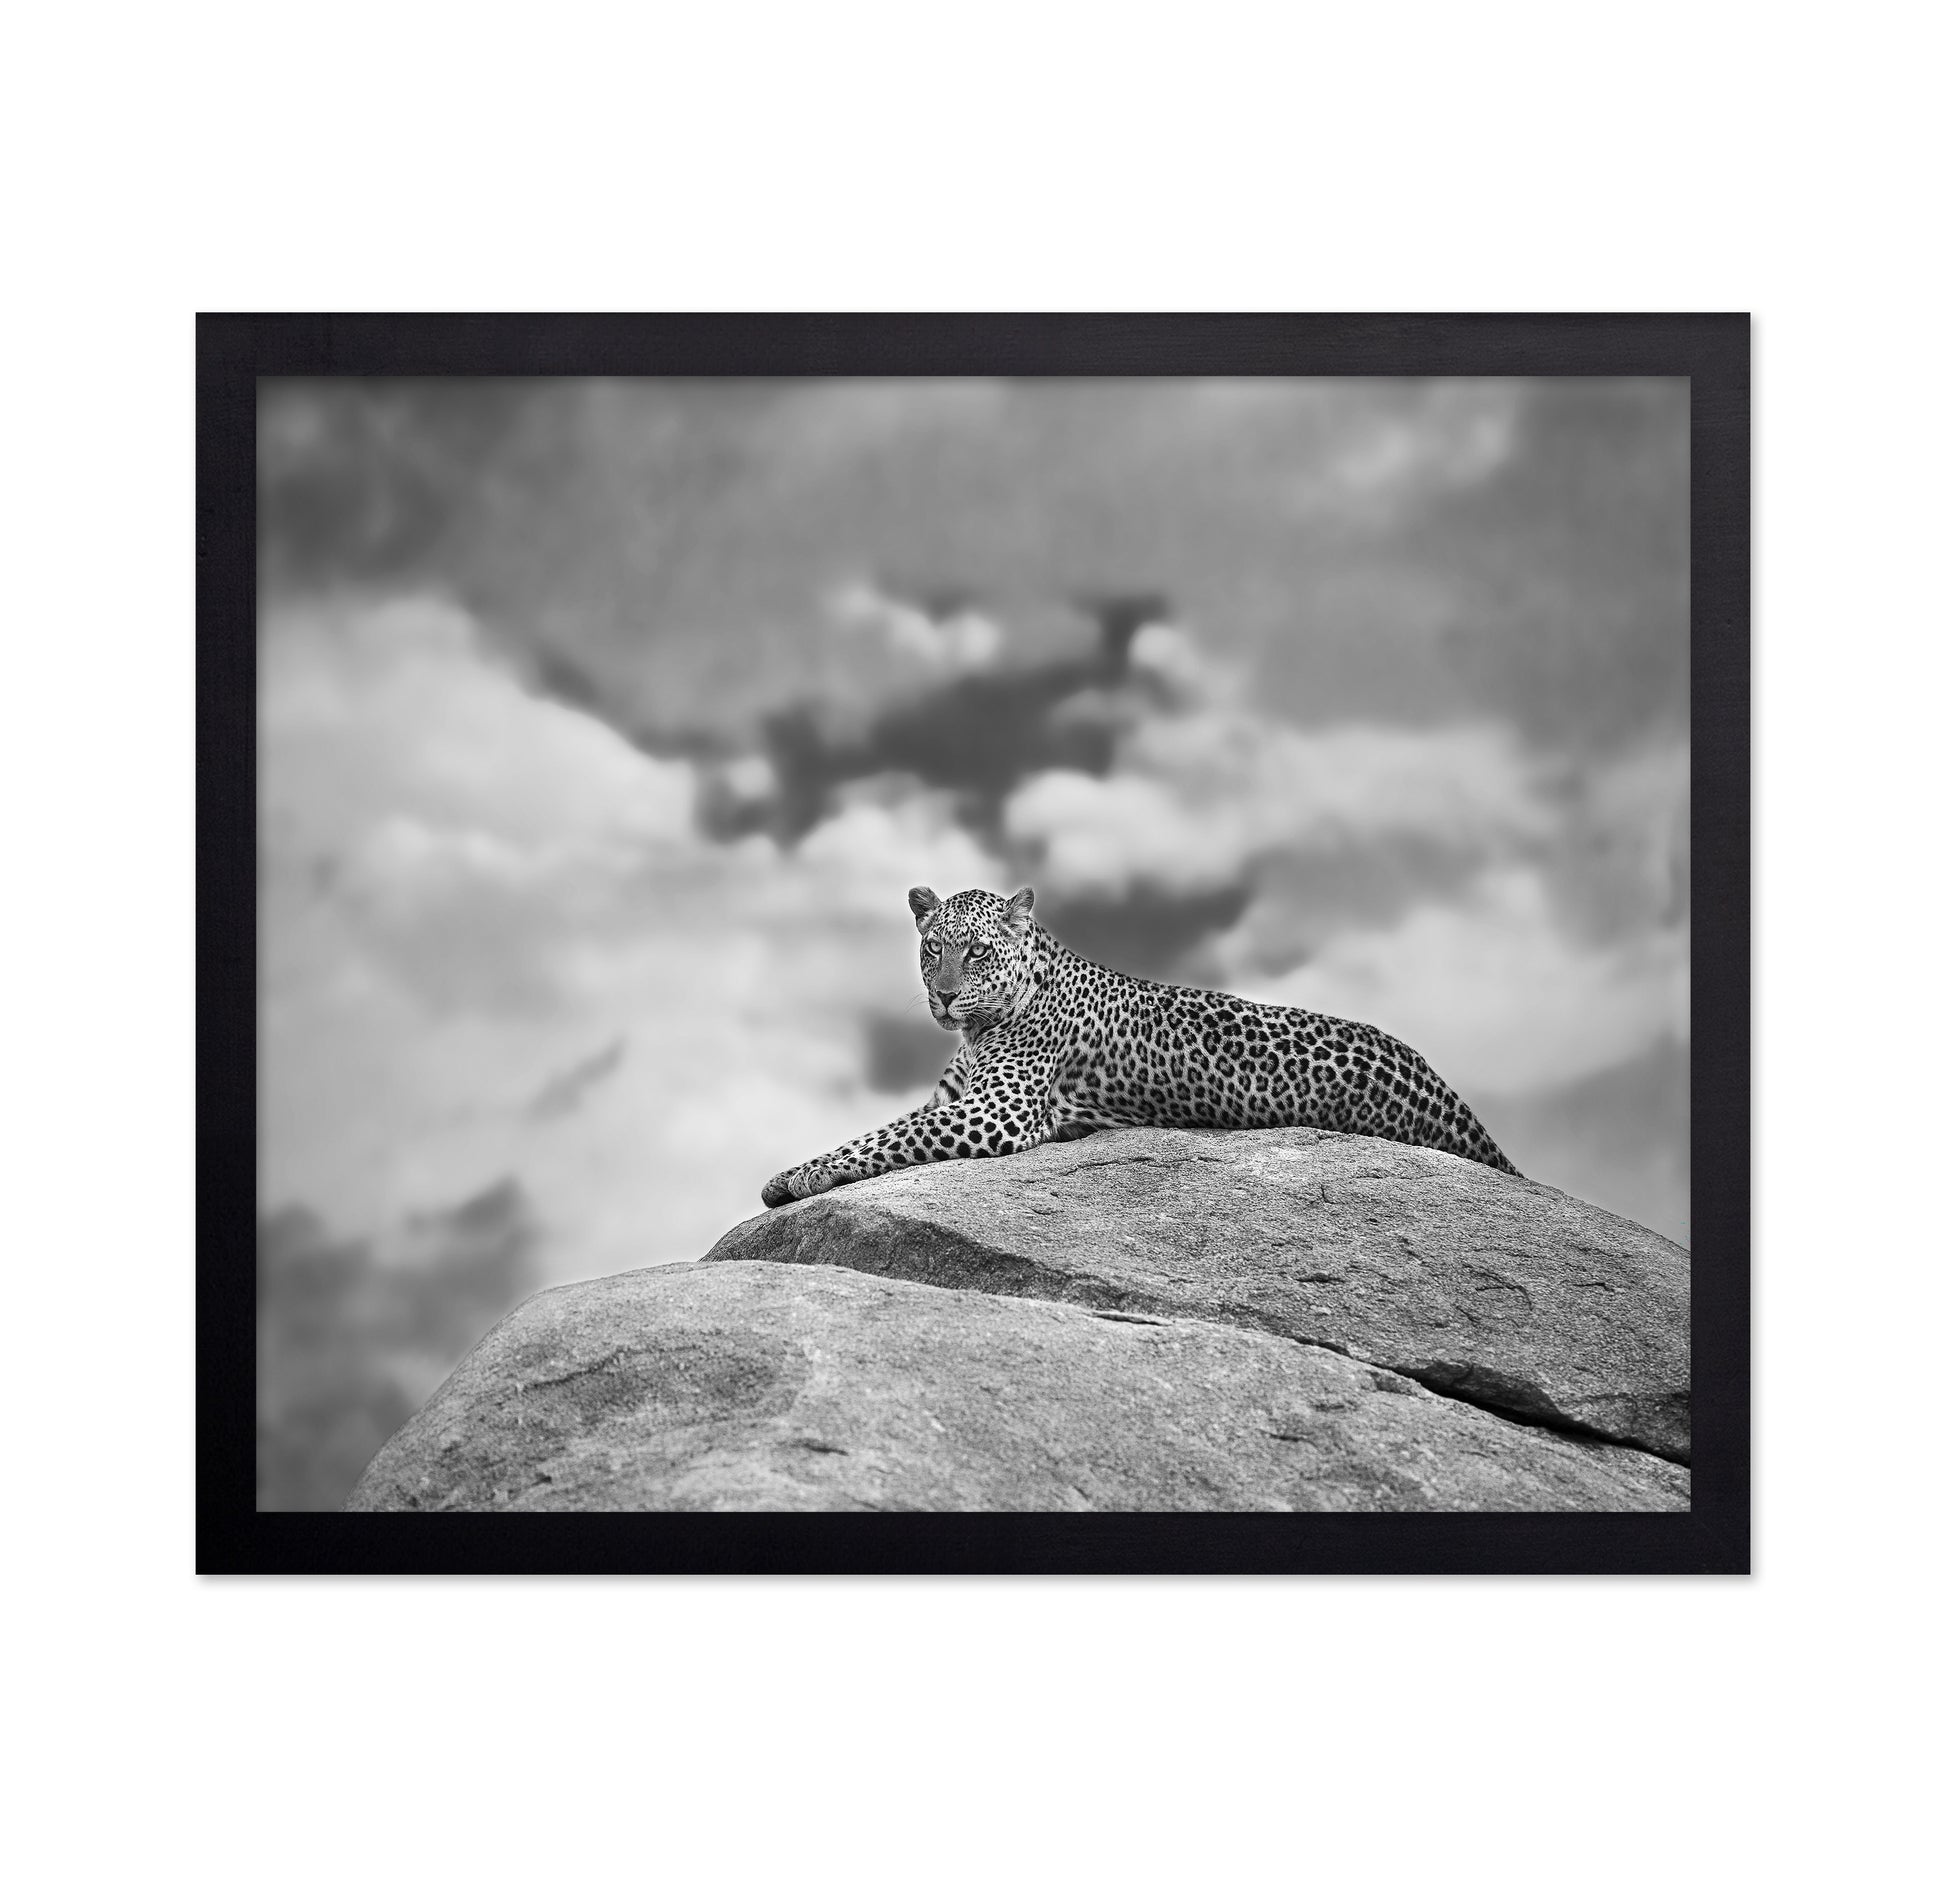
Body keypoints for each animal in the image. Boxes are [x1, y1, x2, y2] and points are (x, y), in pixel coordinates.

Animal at [761, 885, 1519, 1207]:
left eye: (976, 952)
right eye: (932, 951)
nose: (944, 997)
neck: (982, 1027)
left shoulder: (995, 1112)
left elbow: (885, 1138)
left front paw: (797, 1176)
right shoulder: (956, 1099)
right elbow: (879, 1131)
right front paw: (794, 1172)